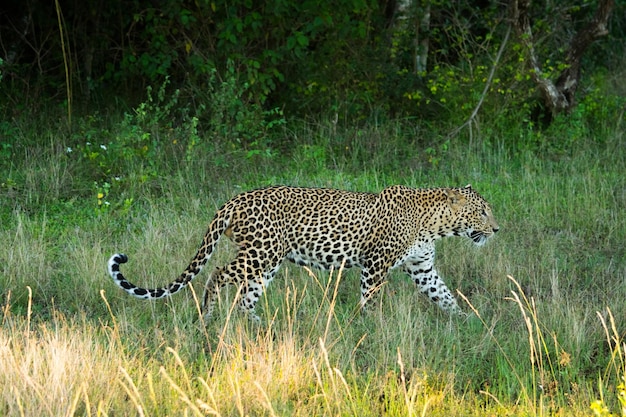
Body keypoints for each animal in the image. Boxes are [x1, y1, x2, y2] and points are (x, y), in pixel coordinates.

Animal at [107, 183, 498, 322]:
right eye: (482, 212)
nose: (496, 230)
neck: (435, 224)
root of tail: (234, 199)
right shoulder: (375, 264)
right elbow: (369, 299)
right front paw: (373, 326)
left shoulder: (422, 268)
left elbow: (445, 295)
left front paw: (469, 320)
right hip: (260, 253)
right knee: (217, 274)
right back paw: (209, 315)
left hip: (267, 262)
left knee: (246, 295)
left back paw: (253, 324)